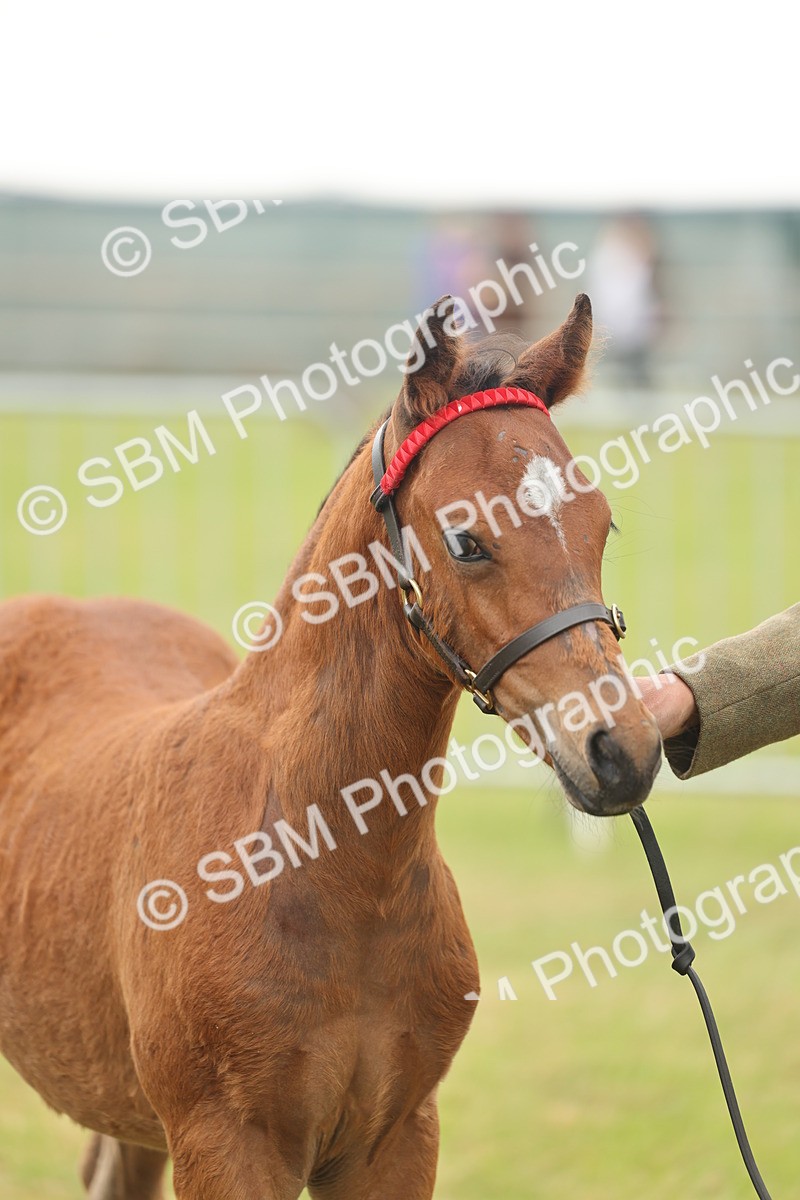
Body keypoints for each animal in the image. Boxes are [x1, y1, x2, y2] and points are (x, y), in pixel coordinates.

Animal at [0, 293, 661, 1199]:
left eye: (602, 523)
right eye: (467, 539)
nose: (621, 751)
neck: (323, 861)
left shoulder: (396, 1138)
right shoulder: (228, 1145)